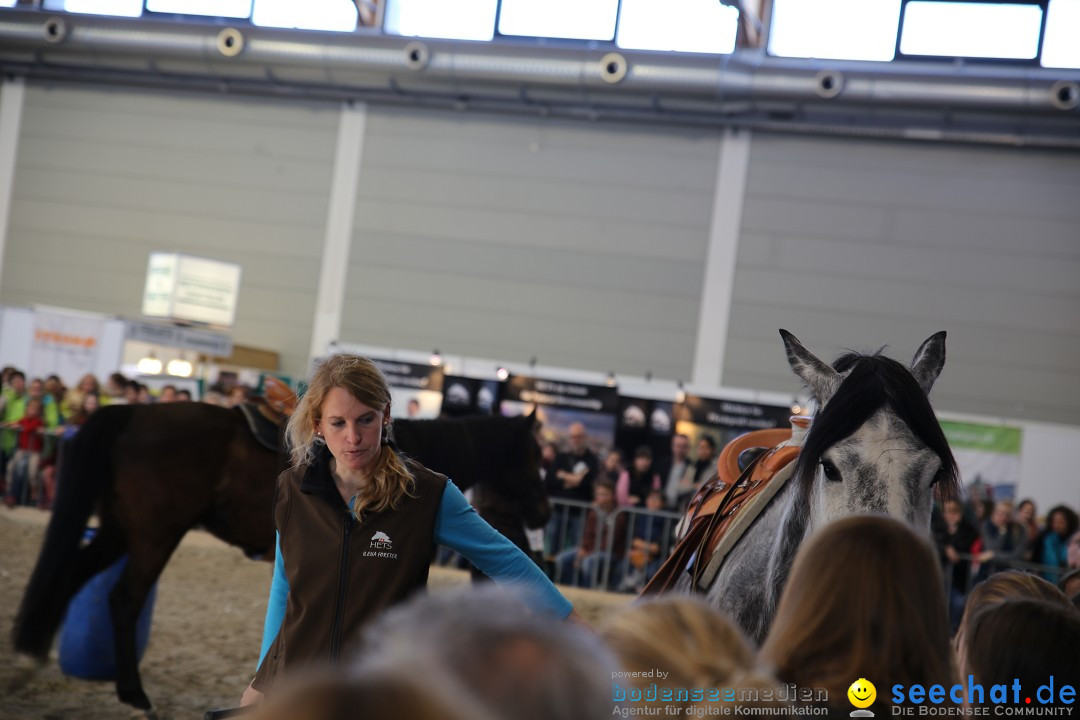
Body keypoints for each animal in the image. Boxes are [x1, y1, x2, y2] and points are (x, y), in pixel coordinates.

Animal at [12, 403, 544, 712]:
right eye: (538, 453)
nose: (542, 508)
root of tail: (135, 411)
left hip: (122, 530)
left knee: (73, 576)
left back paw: (36, 657)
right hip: (154, 533)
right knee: (124, 599)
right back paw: (134, 694)